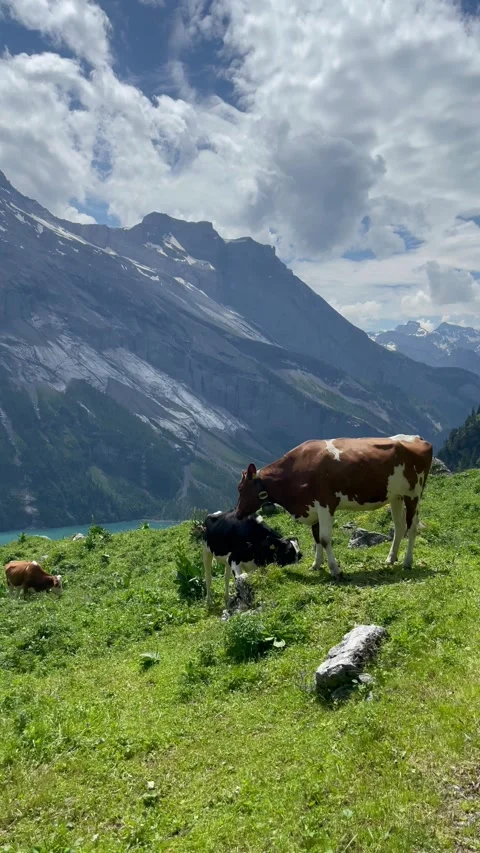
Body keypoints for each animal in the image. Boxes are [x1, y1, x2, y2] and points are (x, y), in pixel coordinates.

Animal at [236, 435, 433, 578]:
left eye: (240, 488)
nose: (237, 514)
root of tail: (417, 438)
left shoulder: (325, 504)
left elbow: (324, 539)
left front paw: (334, 570)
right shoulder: (313, 508)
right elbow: (316, 538)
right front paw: (316, 564)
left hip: (413, 494)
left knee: (411, 527)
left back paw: (407, 562)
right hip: (395, 496)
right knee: (399, 526)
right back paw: (391, 559)